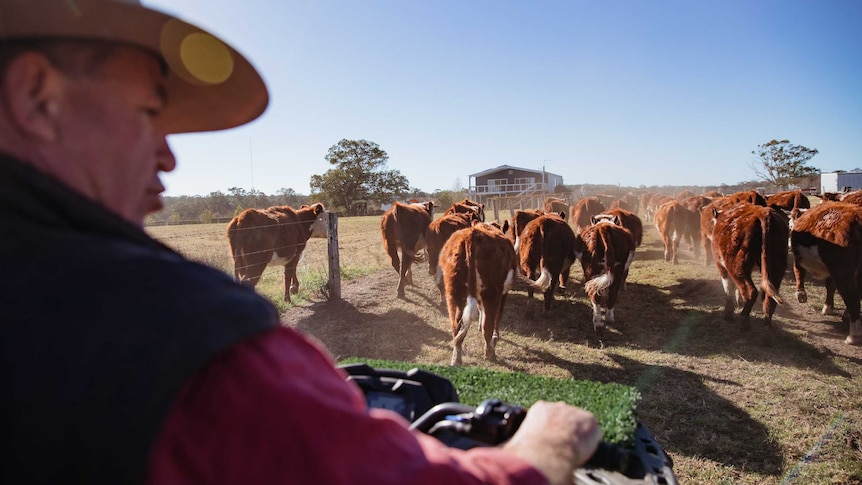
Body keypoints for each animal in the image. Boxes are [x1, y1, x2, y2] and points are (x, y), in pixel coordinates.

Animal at [792, 200, 862, 344]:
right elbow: (830, 285)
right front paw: (828, 307)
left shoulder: (798, 258)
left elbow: (799, 272)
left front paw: (800, 294)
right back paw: (847, 316)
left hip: (842, 271)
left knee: (852, 296)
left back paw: (853, 336)